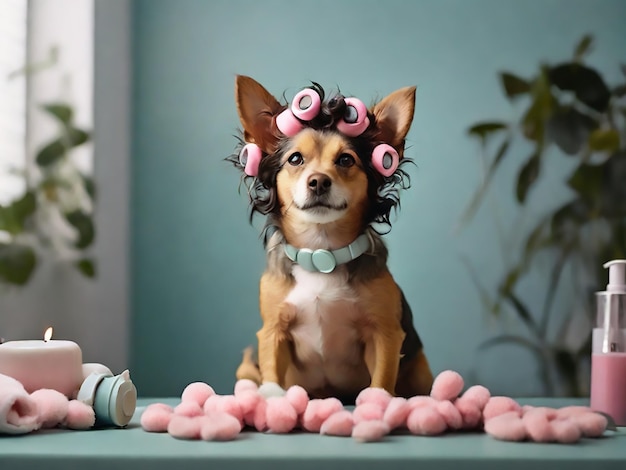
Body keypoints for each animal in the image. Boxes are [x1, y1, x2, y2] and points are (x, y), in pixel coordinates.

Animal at [228, 75, 428, 402]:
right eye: (295, 159)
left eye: (346, 160)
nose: (319, 181)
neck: (321, 253)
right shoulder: (273, 332)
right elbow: (272, 370)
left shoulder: (384, 334)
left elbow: (383, 376)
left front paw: (378, 402)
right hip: (247, 365)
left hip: (420, 367)